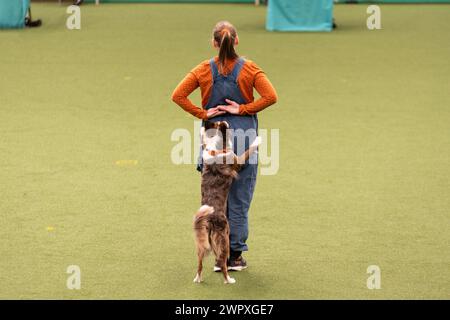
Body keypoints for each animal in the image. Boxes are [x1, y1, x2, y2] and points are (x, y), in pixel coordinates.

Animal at [192, 119, 260, 284]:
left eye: (215, 123)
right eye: (222, 124)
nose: (225, 120)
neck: (215, 150)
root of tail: (208, 218)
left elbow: (203, 138)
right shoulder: (238, 161)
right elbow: (248, 150)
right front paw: (258, 140)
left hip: (202, 242)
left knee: (200, 263)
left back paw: (198, 278)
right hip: (224, 238)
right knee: (223, 263)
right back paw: (229, 280)